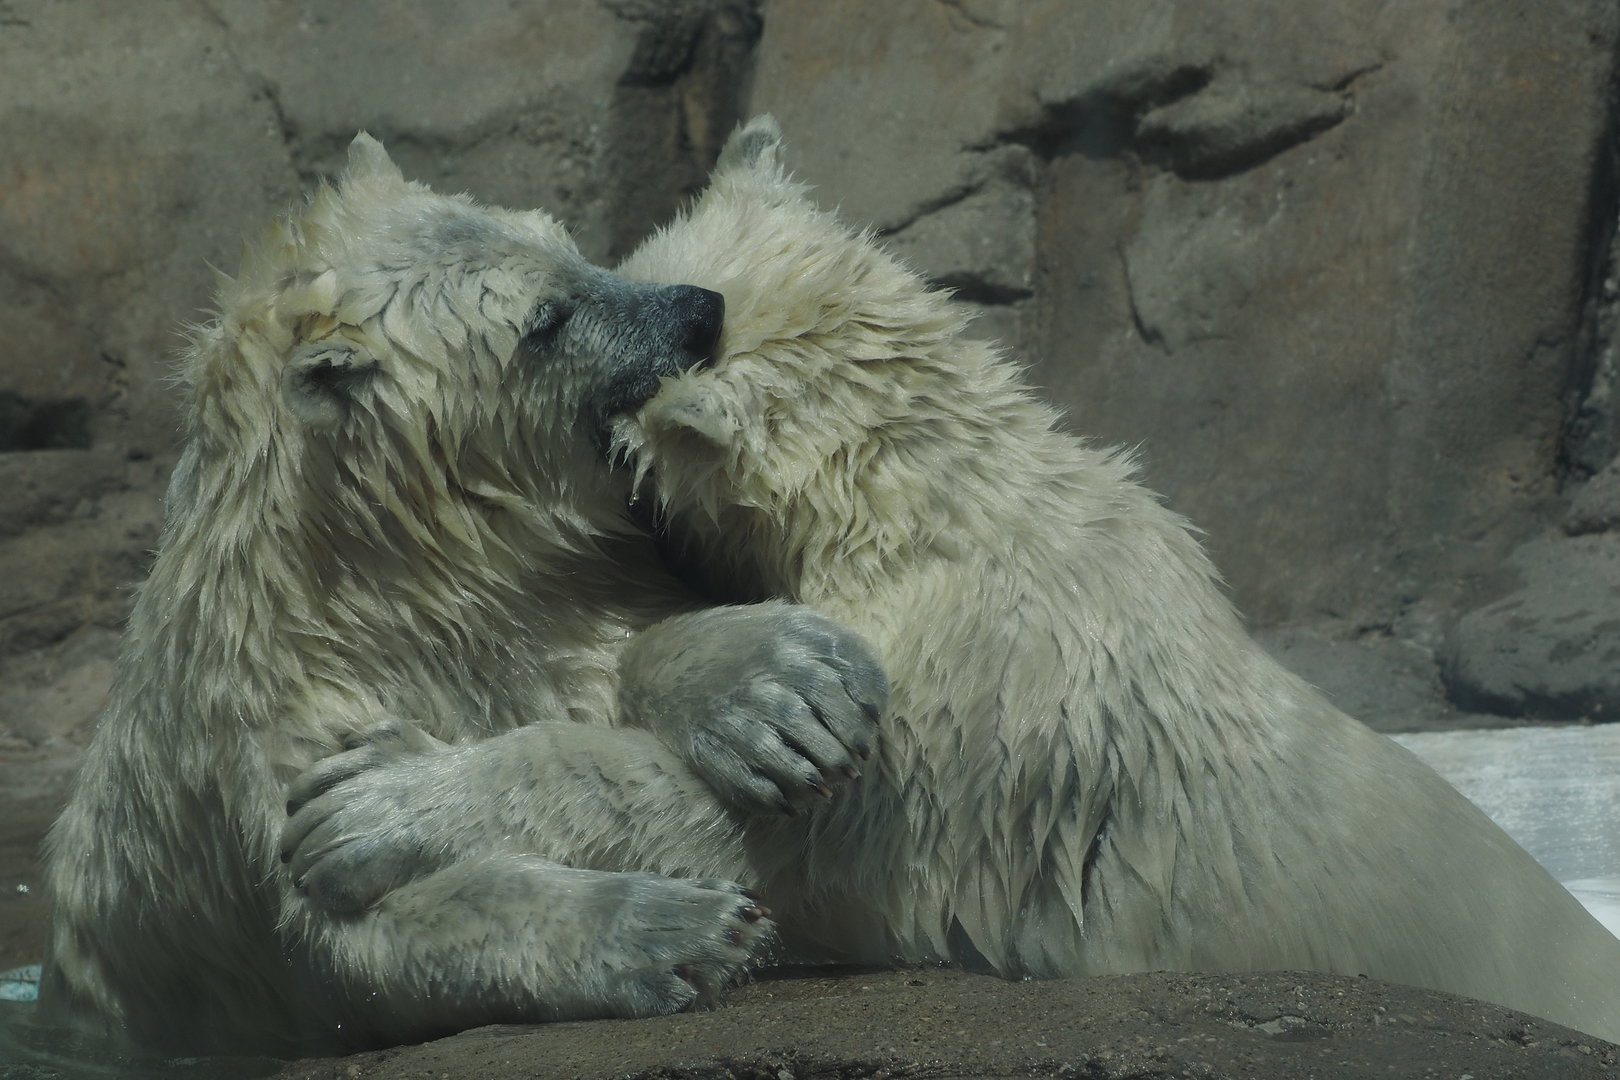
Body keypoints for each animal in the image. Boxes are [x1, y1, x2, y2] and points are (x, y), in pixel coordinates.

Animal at [38, 133, 888, 1057]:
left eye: (571, 245)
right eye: (544, 319)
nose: (698, 311)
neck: (391, 575)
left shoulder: (543, 601)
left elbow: (613, 659)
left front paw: (782, 692)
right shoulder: (272, 712)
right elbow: (357, 924)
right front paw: (677, 929)